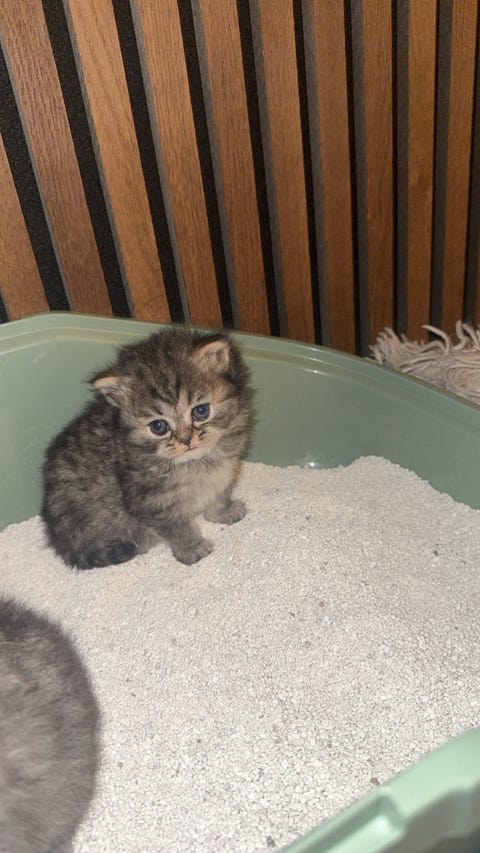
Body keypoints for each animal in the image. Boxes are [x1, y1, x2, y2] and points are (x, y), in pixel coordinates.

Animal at [42, 328, 253, 569]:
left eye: (200, 411)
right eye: (158, 426)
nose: (186, 440)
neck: (197, 463)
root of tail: (56, 532)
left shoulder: (224, 473)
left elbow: (219, 496)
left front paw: (224, 512)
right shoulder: (150, 503)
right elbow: (177, 528)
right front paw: (192, 548)